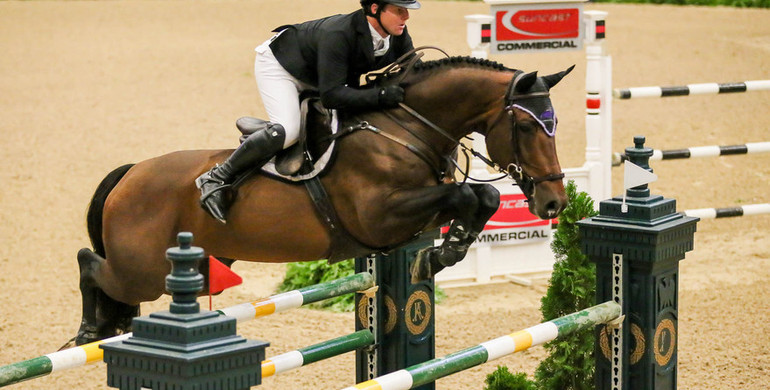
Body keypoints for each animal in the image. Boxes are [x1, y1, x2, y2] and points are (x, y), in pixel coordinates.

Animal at [73, 57, 568, 344]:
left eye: (554, 124)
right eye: (528, 127)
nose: (554, 203)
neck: (407, 129)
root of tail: (130, 174)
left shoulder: (418, 212)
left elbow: (481, 195)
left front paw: (444, 252)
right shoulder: (379, 216)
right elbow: (468, 191)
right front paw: (442, 254)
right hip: (142, 272)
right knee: (90, 263)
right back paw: (89, 330)